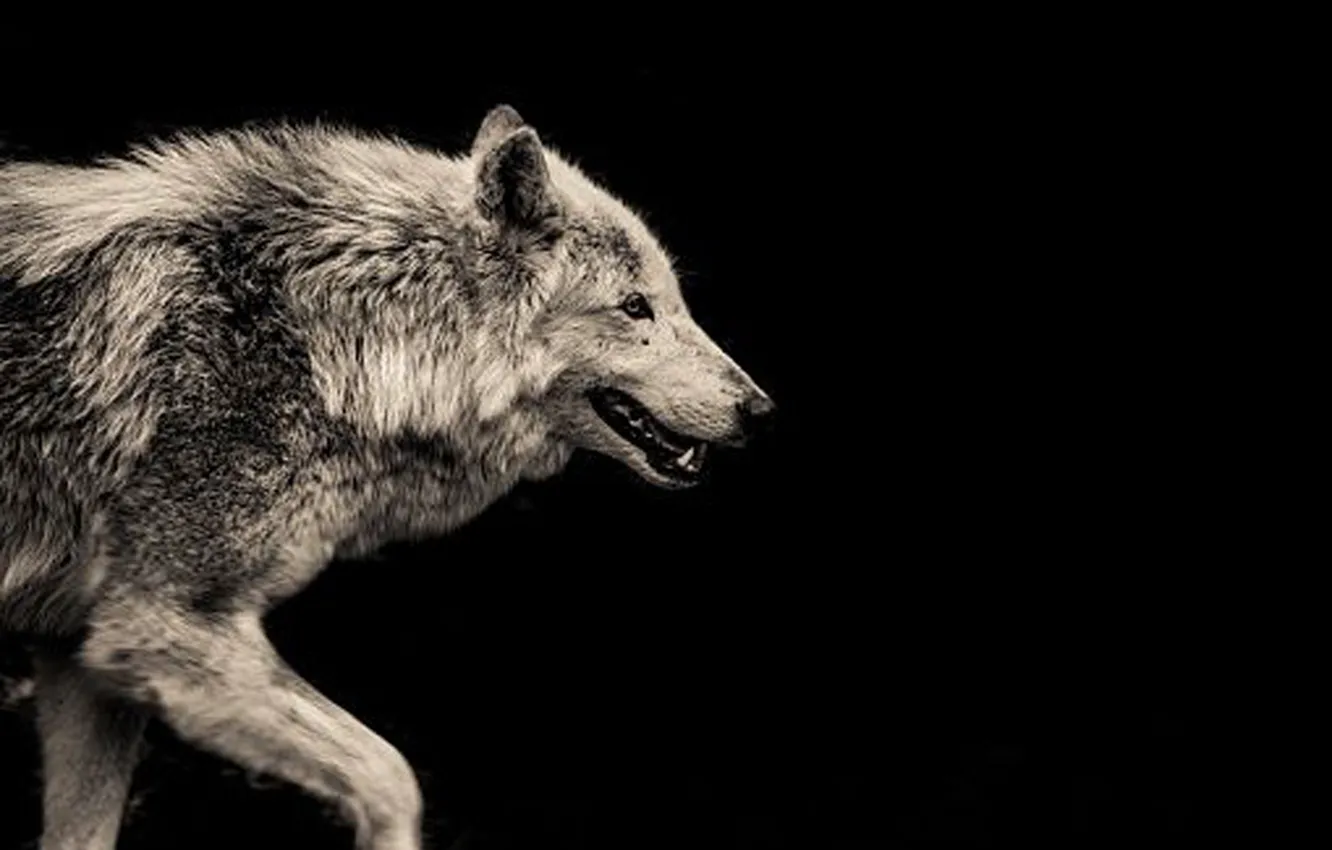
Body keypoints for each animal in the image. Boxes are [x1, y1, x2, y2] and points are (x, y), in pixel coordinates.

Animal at [0, 105, 774, 850]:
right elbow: (392, 774)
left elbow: (82, 833)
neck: (343, 338)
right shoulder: (157, 626)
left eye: (674, 302)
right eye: (635, 306)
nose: (760, 410)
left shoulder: (82, 652)